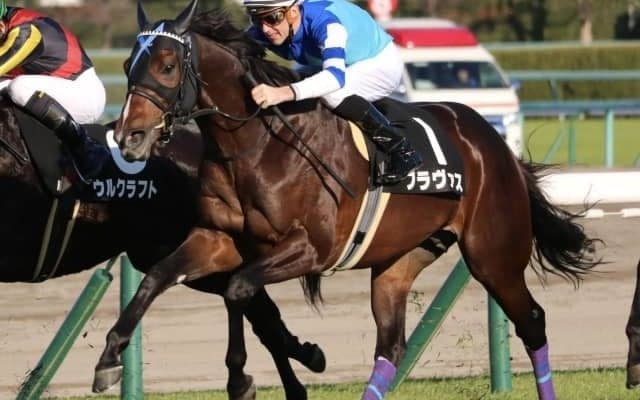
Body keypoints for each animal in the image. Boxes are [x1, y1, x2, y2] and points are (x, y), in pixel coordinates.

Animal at [104, 2, 602, 399]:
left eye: (167, 66)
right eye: (129, 65)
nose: (129, 137)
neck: (255, 145)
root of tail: (495, 146)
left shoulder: (311, 248)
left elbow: (239, 289)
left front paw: (246, 376)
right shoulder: (218, 238)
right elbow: (162, 276)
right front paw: (109, 357)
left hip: (492, 254)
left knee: (532, 320)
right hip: (400, 259)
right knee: (391, 347)